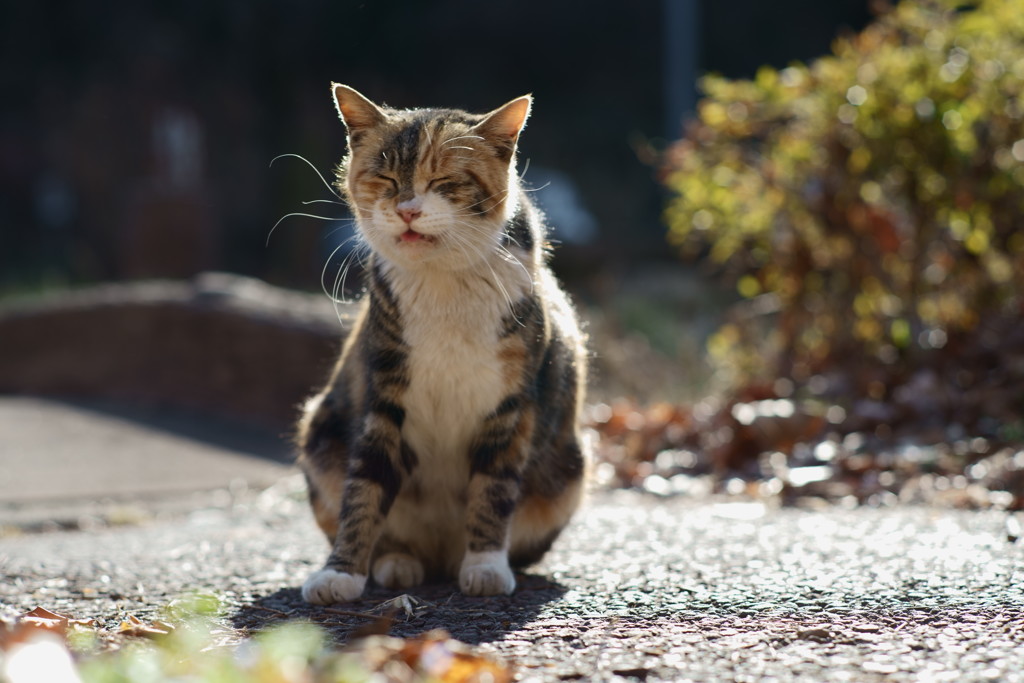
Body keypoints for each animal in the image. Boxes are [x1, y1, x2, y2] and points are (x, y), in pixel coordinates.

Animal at [292, 83, 589, 602]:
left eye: (445, 181)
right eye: (386, 177)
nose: (408, 209)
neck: (443, 285)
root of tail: (438, 557)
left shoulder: (513, 403)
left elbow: (493, 487)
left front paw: (486, 566)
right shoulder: (383, 393)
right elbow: (364, 487)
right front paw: (340, 573)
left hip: (568, 472)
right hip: (320, 434)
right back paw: (396, 563)